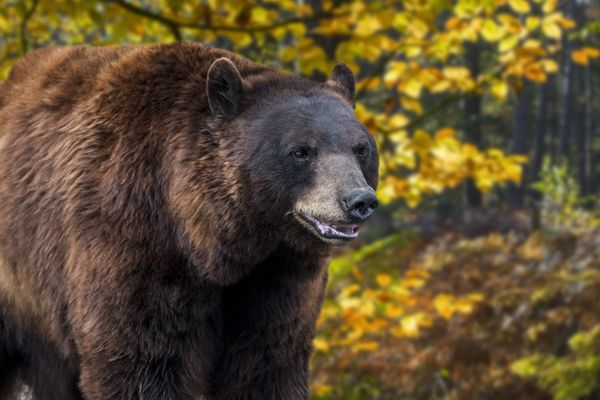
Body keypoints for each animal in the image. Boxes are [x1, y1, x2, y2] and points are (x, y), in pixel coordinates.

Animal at [0, 41, 378, 400]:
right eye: (300, 151)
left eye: (361, 148)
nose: (359, 201)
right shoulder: (132, 235)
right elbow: (139, 359)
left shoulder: (278, 280)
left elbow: (267, 362)